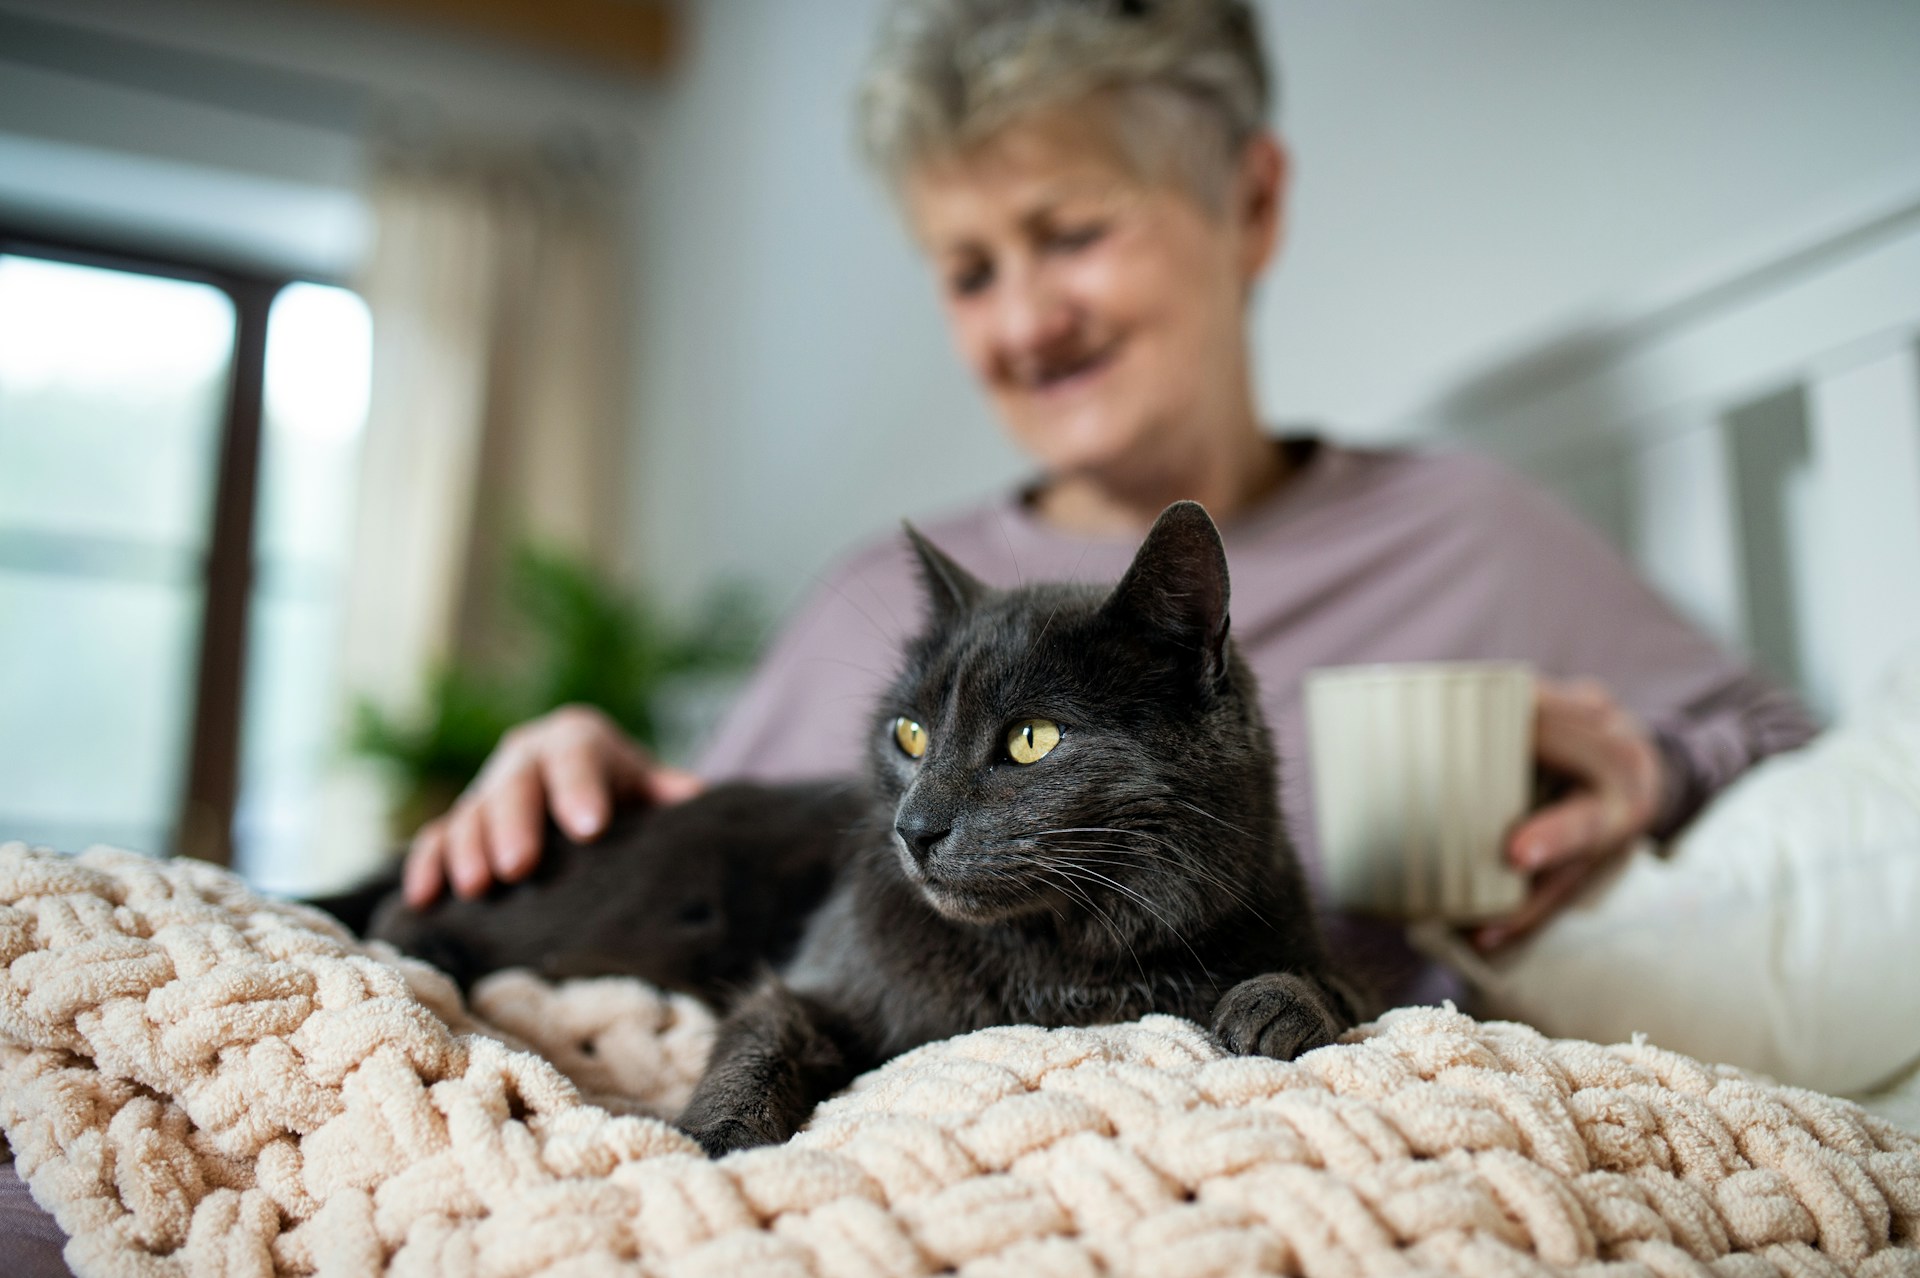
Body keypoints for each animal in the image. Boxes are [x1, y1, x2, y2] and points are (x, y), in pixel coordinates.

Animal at [353, 498, 1359, 1151]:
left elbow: (1343, 986)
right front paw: (714, 1138)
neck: (1052, 961)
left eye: (1032, 739)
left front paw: (1276, 1006)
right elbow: (761, 1035)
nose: (914, 828)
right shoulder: (815, 984)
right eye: (908, 734)